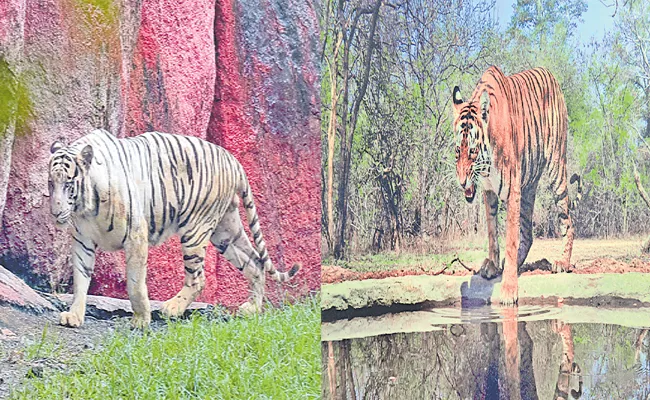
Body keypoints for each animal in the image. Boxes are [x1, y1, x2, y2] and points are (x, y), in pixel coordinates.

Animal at [450, 66, 576, 304]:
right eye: (457, 150)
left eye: (472, 151)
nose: (462, 182)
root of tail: (548, 72)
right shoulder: (489, 191)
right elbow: (492, 232)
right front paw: (492, 265)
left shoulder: (512, 191)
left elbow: (509, 240)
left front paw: (508, 289)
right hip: (528, 189)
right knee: (528, 234)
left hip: (556, 168)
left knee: (568, 221)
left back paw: (562, 263)